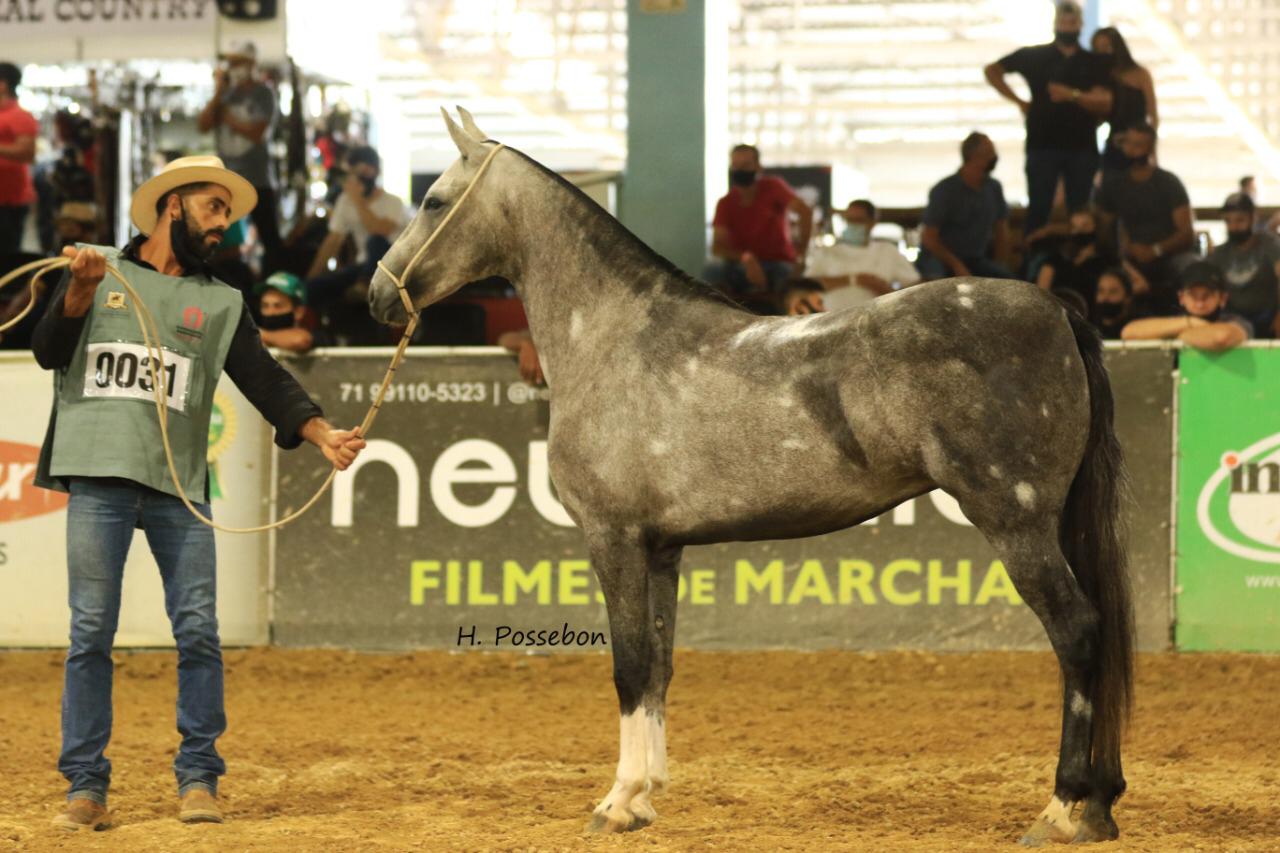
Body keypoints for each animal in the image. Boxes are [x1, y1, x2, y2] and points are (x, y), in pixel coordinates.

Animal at [368, 108, 1131, 845]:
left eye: (433, 200)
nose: (378, 295)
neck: (614, 340)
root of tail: (1058, 310)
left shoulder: (614, 539)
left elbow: (629, 665)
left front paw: (616, 801)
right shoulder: (662, 549)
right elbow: (659, 665)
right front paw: (644, 798)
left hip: (1016, 521)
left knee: (1077, 632)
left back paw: (1062, 808)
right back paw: (1100, 803)